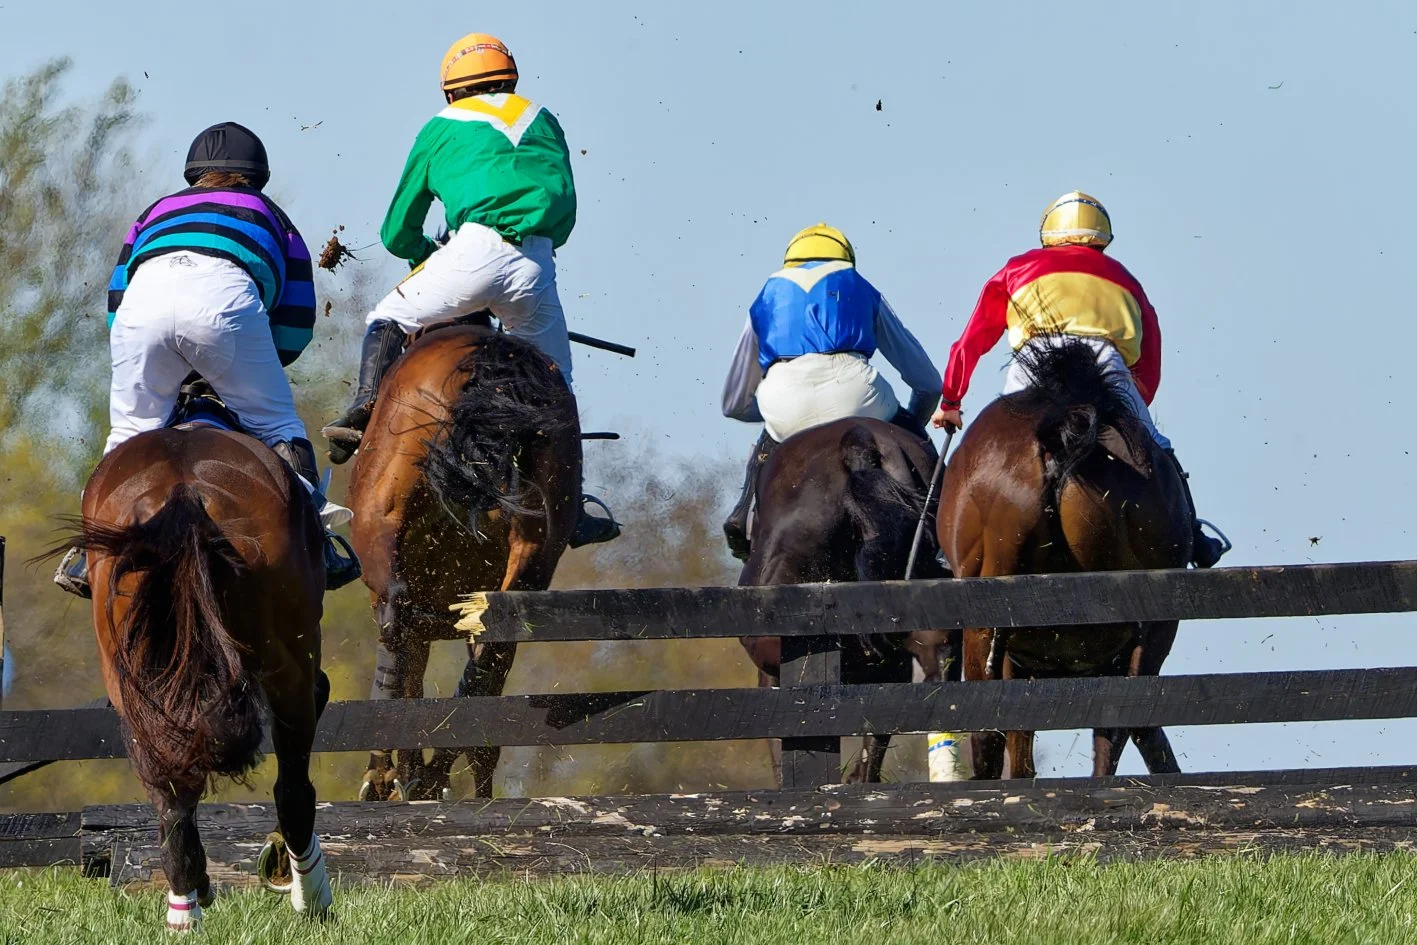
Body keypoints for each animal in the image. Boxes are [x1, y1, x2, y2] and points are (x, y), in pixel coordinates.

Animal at [62, 425, 332, 929]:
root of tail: (184, 491)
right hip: (288, 661)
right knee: (292, 788)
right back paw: (311, 895)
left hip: (133, 680)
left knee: (169, 785)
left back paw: (185, 906)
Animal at [345, 323, 581, 801]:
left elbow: (411, 679)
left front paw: (403, 774)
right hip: (529, 561)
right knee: (495, 648)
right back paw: (436, 774)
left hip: (383, 525)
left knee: (397, 621)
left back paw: (387, 775)